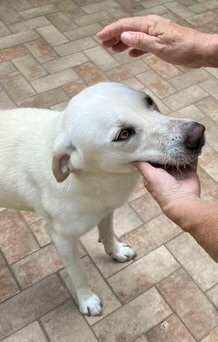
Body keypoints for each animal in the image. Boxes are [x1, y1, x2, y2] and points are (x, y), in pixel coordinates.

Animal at [0, 82, 204, 316]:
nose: (198, 134)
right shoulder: (61, 237)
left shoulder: (106, 210)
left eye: (149, 101)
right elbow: (78, 273)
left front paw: (115, 252)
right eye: (124, 134)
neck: (95, 179)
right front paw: (86, 300)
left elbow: (107, 234)